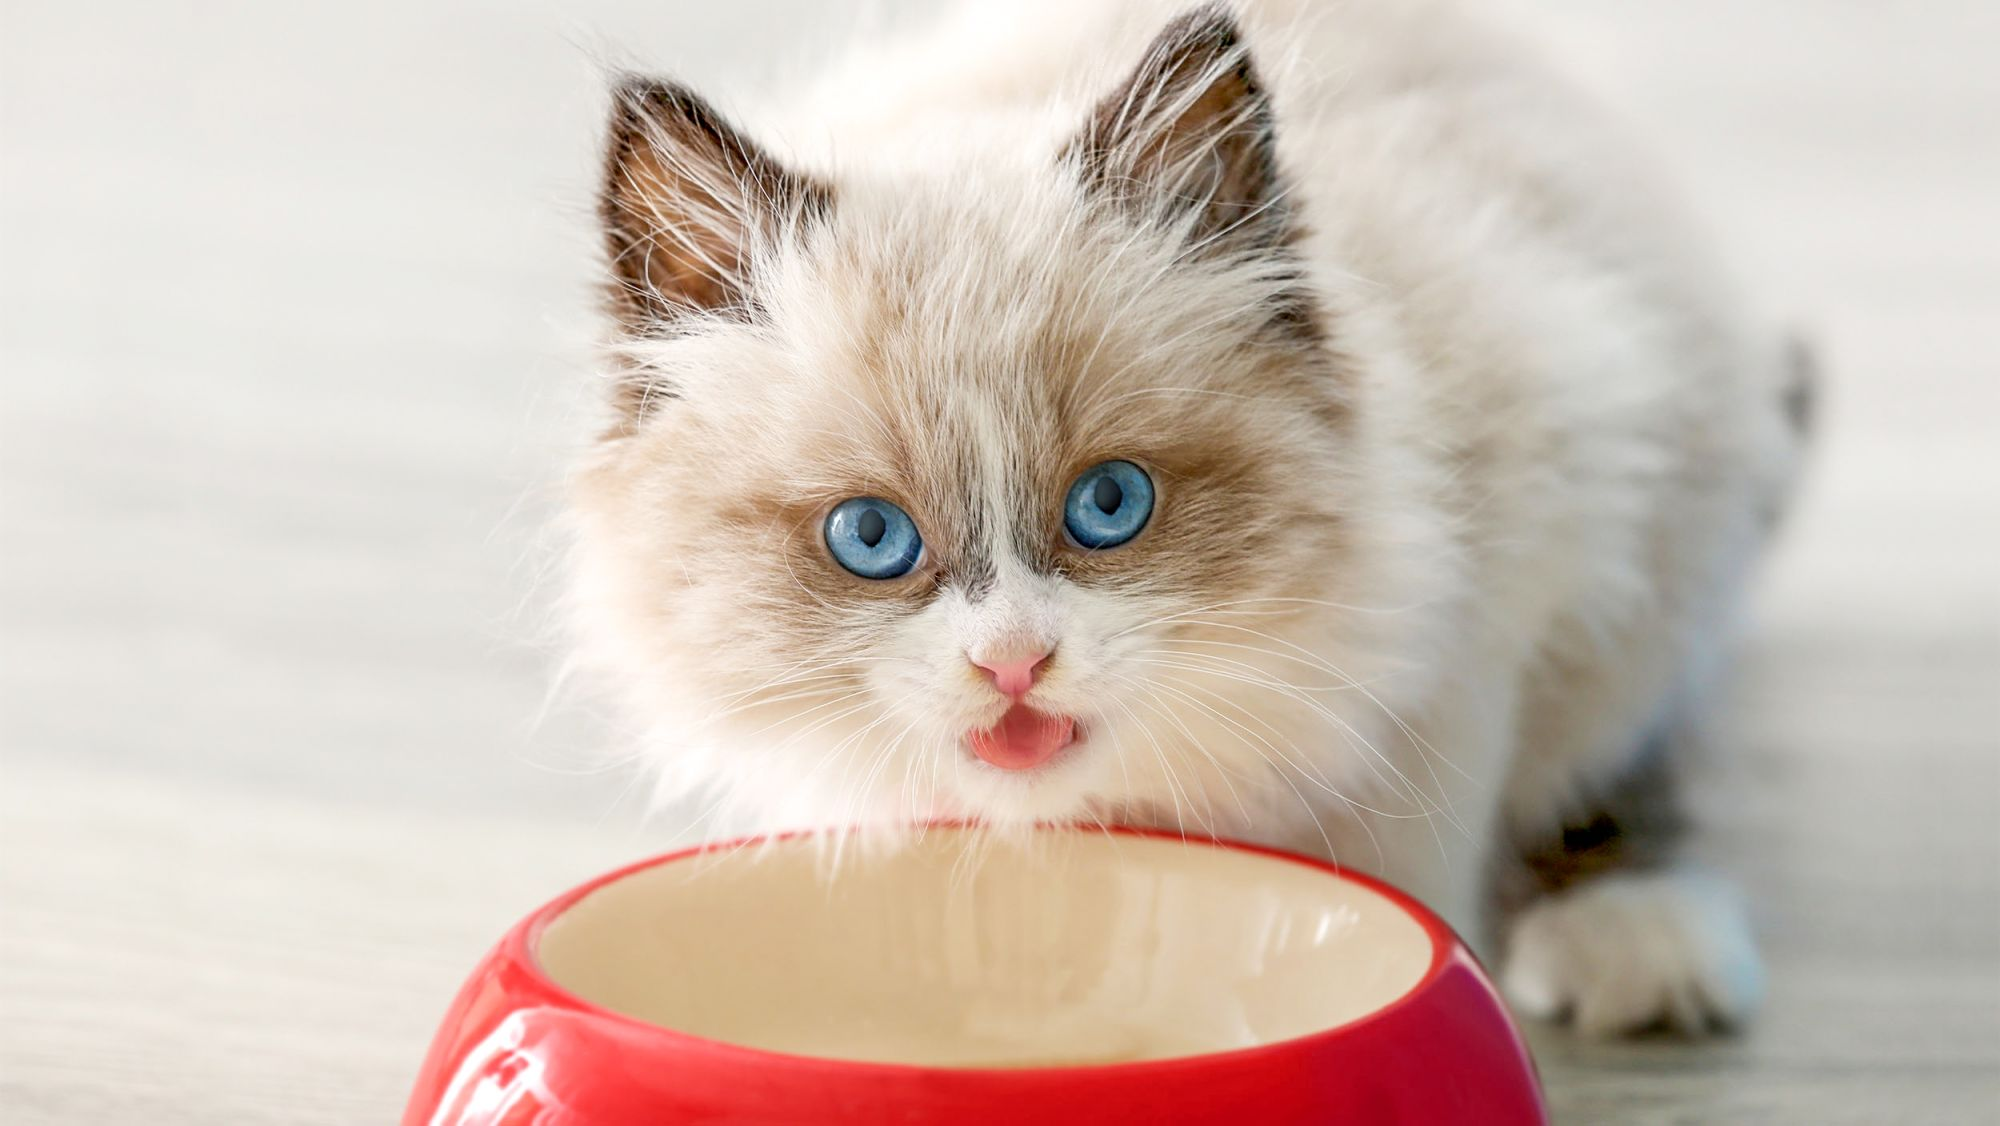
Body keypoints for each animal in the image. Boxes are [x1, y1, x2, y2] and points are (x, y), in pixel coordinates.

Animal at [568, 0, 1816, 1040]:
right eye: (871, 539)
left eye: (1108, 504)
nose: (1012, 665)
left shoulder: (1480, 635)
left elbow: (1411, 882)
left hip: (1656, 532)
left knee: (1626, 750)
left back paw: (1642, 948)